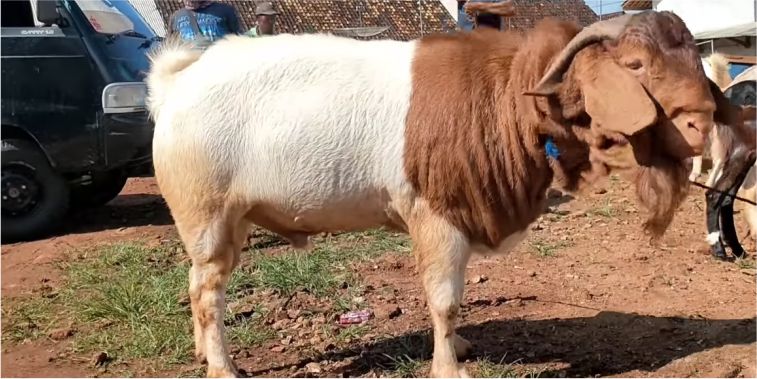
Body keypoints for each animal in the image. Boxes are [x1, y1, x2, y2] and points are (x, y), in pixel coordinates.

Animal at [146, 10, 732, 378]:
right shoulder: (436, 217)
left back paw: (203, 354)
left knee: (198, 286)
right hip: (206, 213)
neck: (507, 97)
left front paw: (462, 346)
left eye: (694, 61)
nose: (702, 124)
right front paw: (450, 366)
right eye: (634, 66)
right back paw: (222, 367)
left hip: (233, 218)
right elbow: (445, 300)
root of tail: (178, 82)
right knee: (207, 291)